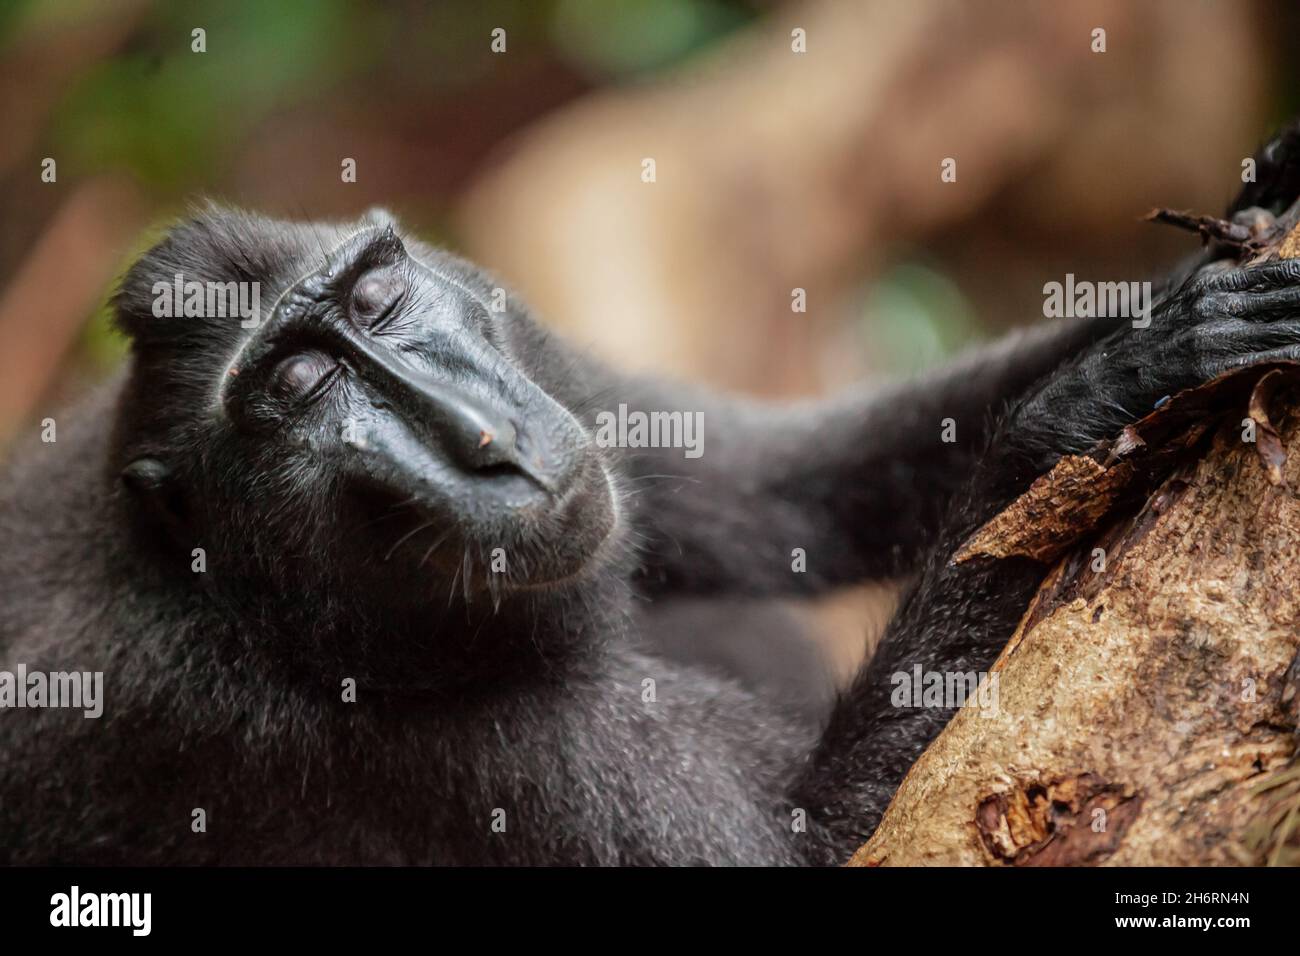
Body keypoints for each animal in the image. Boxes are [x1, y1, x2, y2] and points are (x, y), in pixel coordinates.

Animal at [4, 128, 1300, 865]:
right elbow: (832, 845)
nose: (482, 434)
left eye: (377, 295)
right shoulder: (308, 727)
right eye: (299, 386)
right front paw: (1092, 400)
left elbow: (793, 494)